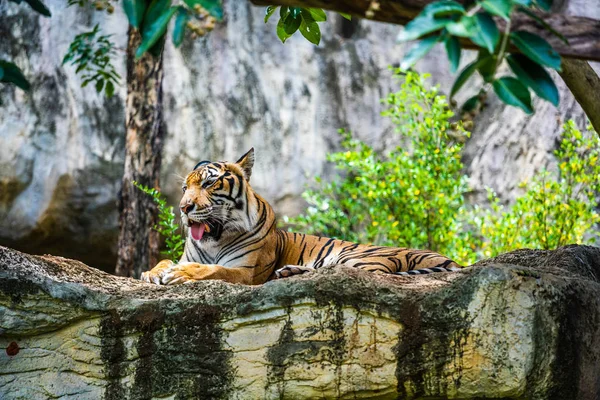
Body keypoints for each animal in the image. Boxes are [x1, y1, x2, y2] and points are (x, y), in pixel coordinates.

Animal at [139, 148, 460, 286]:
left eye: (208, 183)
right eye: (184, 189)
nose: (183, 208)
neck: (215, 239)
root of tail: (448, 259)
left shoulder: (246, 271)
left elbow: (214, 270)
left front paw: (179, 274)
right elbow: (165, 261)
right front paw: (153, 272)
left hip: (359, 258)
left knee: (351, 273)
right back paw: (289, 272)